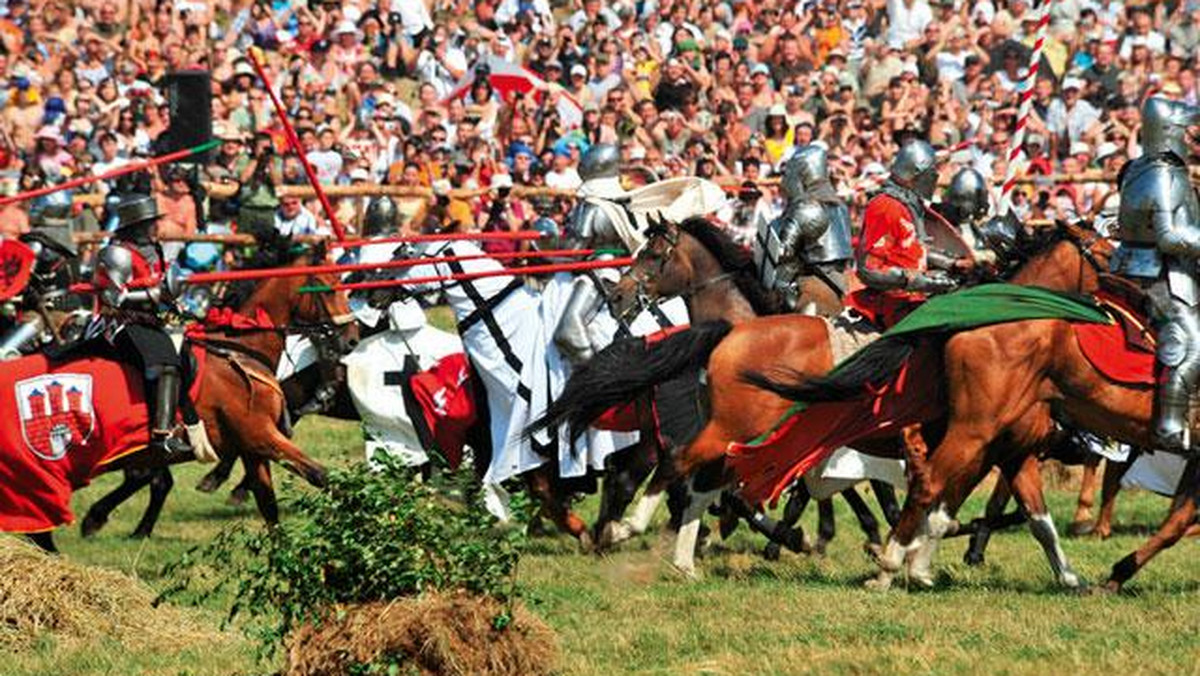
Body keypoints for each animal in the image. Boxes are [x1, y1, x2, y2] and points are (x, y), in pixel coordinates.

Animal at [530, 219, 1108, 578]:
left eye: (652, 254)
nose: (617, 295)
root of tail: (728, 337)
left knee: (680, 476)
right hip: (726, 432)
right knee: (666, 470)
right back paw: (625, 531)